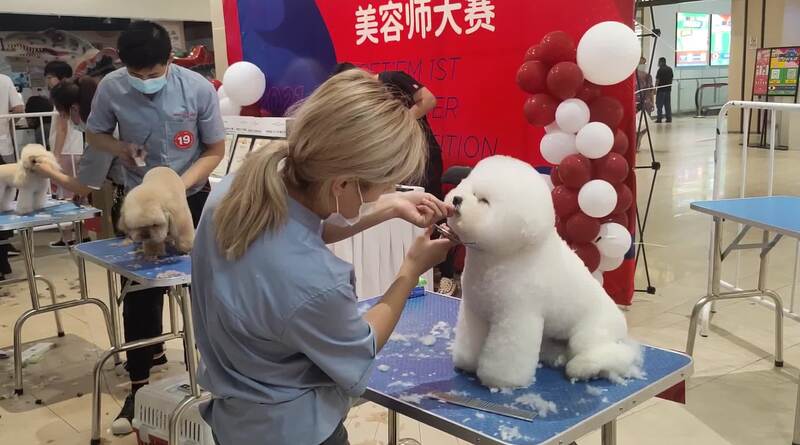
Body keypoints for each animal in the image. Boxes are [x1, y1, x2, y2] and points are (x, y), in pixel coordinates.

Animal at [445, 155, 642, 388]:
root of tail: (621, 322)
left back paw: (582, 368)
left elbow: (506, 356)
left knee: (615, 354)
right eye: (467, 186)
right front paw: (467, 362)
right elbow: (471, 341)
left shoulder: (515, 317)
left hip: (590, 333)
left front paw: (500, 380)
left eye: (484, 200)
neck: (498, 258)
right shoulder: (475, 311)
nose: (456, 199)